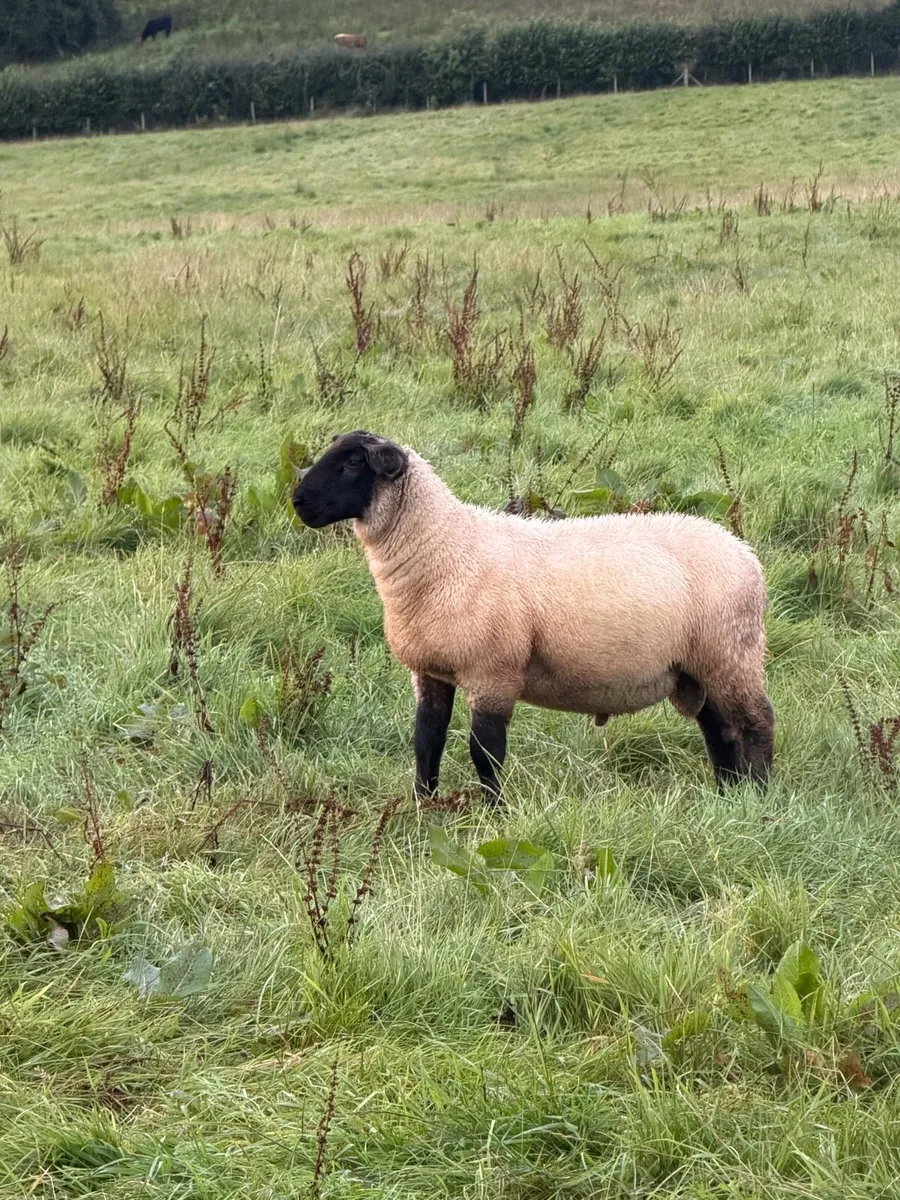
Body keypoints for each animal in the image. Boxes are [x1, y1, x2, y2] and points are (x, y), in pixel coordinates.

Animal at [292, 431, 775, 805]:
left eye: (354, 462)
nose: (297, 501)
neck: (445, 548)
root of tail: (744, 552)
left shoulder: (493, 672)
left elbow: (485, 752)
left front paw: (494, 814)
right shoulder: (431, 671)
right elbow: (426, 742)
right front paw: (422, 807)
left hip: (731, 652)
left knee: (756, 724)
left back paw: (758, 797)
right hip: (700, 666)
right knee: (721, 730)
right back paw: (726, 794)